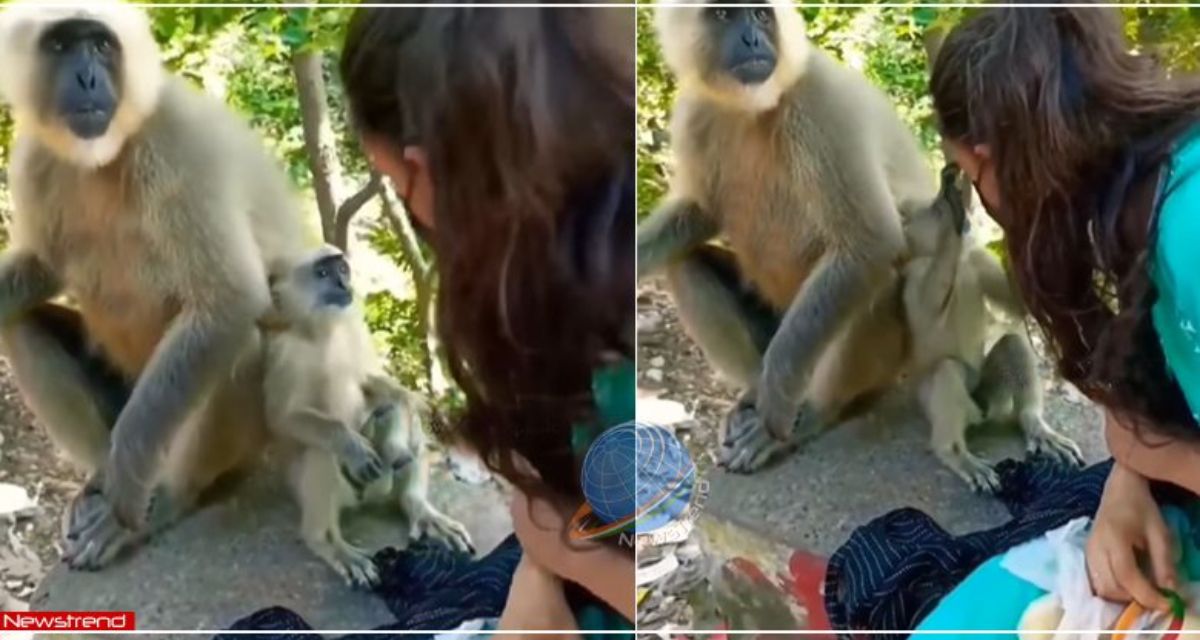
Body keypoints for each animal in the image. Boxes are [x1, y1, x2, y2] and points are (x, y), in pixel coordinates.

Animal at [0, 1, 314, 569]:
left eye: (100, 45)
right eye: (61, 45)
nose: (86, 77)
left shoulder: (176, 140)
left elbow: (231, 299)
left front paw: (128, 484)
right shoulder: (32, 156)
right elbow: (43, 266)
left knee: (240, 336)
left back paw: (163, 495)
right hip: (123, 386)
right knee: (21, 324)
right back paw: (100, 476)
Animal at [262, 247, 472, 585]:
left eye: (342, 269)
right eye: (323, 274)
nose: (344, 284)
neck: (322, 333)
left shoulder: (353, 326)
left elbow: (376, 384)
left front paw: (405, 410)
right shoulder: (284, 351)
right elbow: (282, 418)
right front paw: (353, 447)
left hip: (380, 482)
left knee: (404, 426)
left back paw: (419, 506)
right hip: (327, 489)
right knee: (320, 450)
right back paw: (330, 544)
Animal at [643, 0, 940, 468]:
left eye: (761, 16)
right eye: (725, 14)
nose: (752, 39)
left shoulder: (819, 100)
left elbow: (871, 242)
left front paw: (779, 404)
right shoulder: (693, 112)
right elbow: (700, 212)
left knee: (882, 271)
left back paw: (811, 411)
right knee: (685, 263)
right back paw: (751, 392)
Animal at [902, 163, 1084, 489]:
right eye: (934, 209)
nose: (965, 219)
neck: (961, 262)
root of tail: (982, 412)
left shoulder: (978, 260)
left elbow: (1019, 304)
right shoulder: (916, 273)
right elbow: (930, 308)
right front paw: (954, 212)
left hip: (992, 395)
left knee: (1013, 343)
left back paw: (1035, 425)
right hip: (932, 398)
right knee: (947, 370)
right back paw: (956, 454)